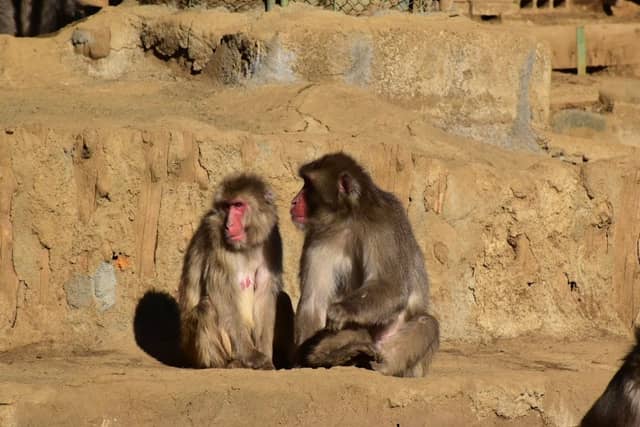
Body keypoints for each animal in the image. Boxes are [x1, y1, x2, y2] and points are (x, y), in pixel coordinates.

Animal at [178, 174, 285, 370]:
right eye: (226, 206)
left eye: (238, 205)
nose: (228, 225)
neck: (247, 245)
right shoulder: (215, 236)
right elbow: (222, 293)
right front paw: (252, 355)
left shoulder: (272, 240)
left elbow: (265, 294)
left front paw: (267, 359)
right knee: (206, 308)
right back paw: (228, 363)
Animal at [290, 152, 440, 377]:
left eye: (308, 185)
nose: (294, 201)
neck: (348, 218)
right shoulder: (319, 236)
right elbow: (314, 301)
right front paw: (303, 362)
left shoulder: (383, 227)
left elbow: (392, 286)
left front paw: (341, 310)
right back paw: (334, 356)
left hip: (403, 358)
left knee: (426, 324)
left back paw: (383, 367)